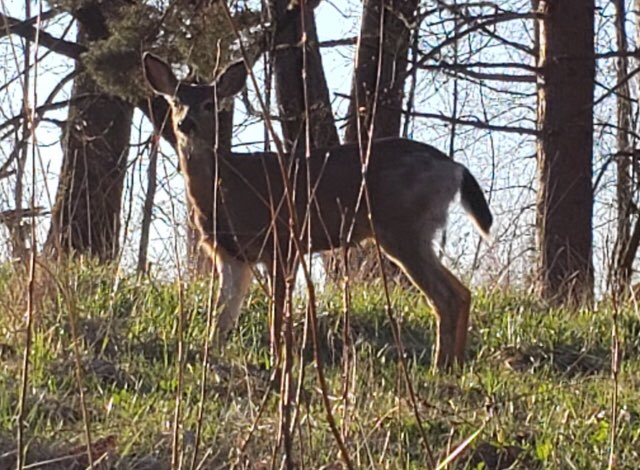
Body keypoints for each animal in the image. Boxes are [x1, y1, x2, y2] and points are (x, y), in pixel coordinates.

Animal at [142, 53, 493, 370]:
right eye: (176, 101)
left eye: (209, 105)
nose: (185, 124)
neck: (228, 186)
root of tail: (455, 168)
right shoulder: (232, 256)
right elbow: (222, 317)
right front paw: (208, 358)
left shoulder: (282, 240)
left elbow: (277, 312)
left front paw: (280, 360)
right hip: (413, 232)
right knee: (462, 292)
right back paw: (455, 365)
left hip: (404, 227)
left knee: (446, 296)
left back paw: (440, 366)